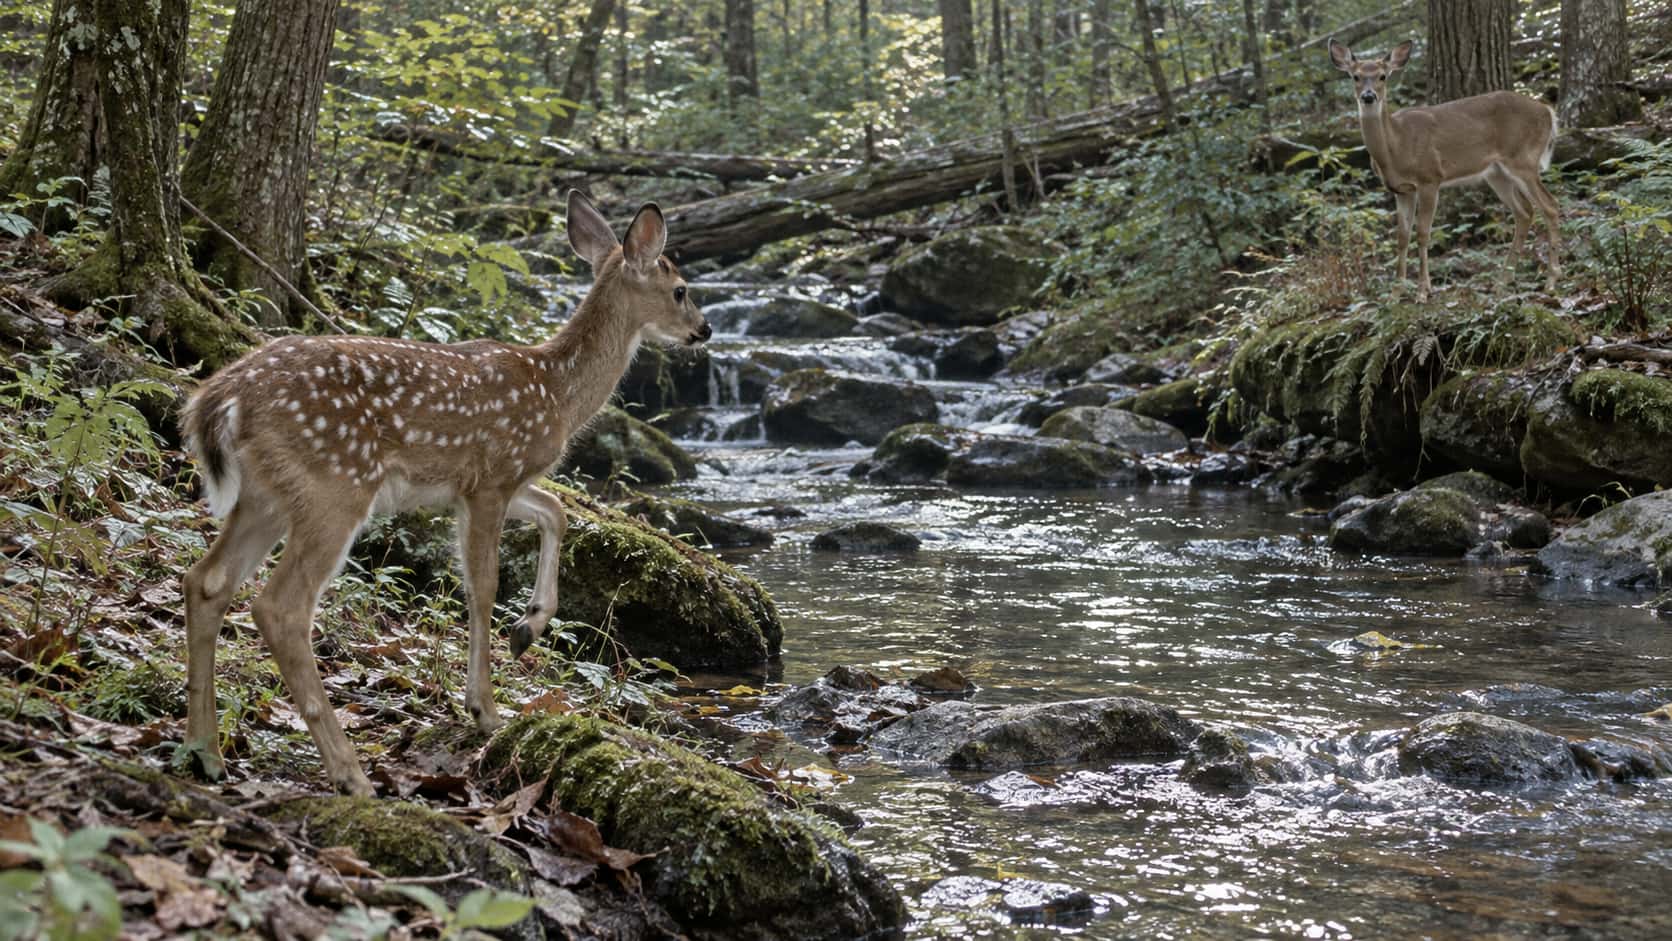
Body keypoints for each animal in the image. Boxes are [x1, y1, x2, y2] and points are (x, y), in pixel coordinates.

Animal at [178, 191, 709, 796]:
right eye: (680, 289)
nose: (705, 330)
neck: (556, 389)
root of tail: (219, 399)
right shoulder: (494, 476)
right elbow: (482, 586)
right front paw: (485, 708)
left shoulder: (480, 483)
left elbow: (556, 513)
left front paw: (528, 627)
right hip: (334, 484)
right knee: (280, 608)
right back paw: (350, 773)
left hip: (266, 494)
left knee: (206, 581)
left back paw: (206, 752)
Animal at [1327, 39, 1562, 300]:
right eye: (1355, 76)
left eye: (1382, 76)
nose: (1368, 96)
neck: (1396, 146)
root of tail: (1548, 111)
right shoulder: (1402, 190)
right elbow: (1402, 237)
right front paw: (1396, 292)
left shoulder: (1430, 177)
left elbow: (1422, 233)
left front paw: (1422, 291)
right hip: (1496, 172)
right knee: (1525, 211)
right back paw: (1503, 281)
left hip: (1523, 159)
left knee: (1550, 206)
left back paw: (1551, 281)